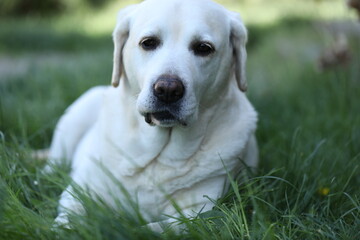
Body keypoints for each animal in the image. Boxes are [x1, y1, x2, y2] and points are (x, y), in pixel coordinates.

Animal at [45, 0, 258, 231]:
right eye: (148, 43)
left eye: (204, 48)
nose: (168, 90)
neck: (157, 154)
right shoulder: (78, 192)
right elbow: (68, 219)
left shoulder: (196, 215)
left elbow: (151, 228)